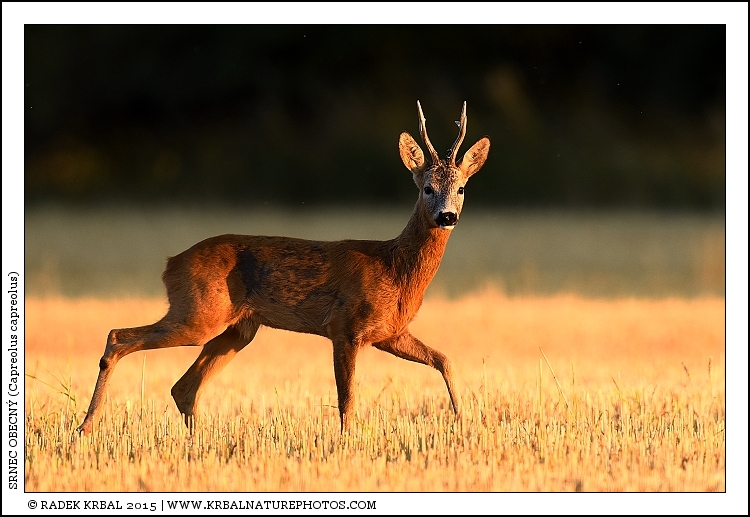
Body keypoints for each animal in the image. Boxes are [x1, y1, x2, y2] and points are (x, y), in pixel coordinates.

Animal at [76, 101, 490, 436]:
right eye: (427, 188)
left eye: (462, 188)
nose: (447, 216)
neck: (395, 268)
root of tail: (170, 263)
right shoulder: (344, 327)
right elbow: (348, 400)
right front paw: (347, 444)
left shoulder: (390, 332)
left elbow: (444, 360)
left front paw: (464, 423)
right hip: (198, 314)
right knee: (118, 337)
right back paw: (85, 427)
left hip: (238, 329)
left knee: (182, 387)